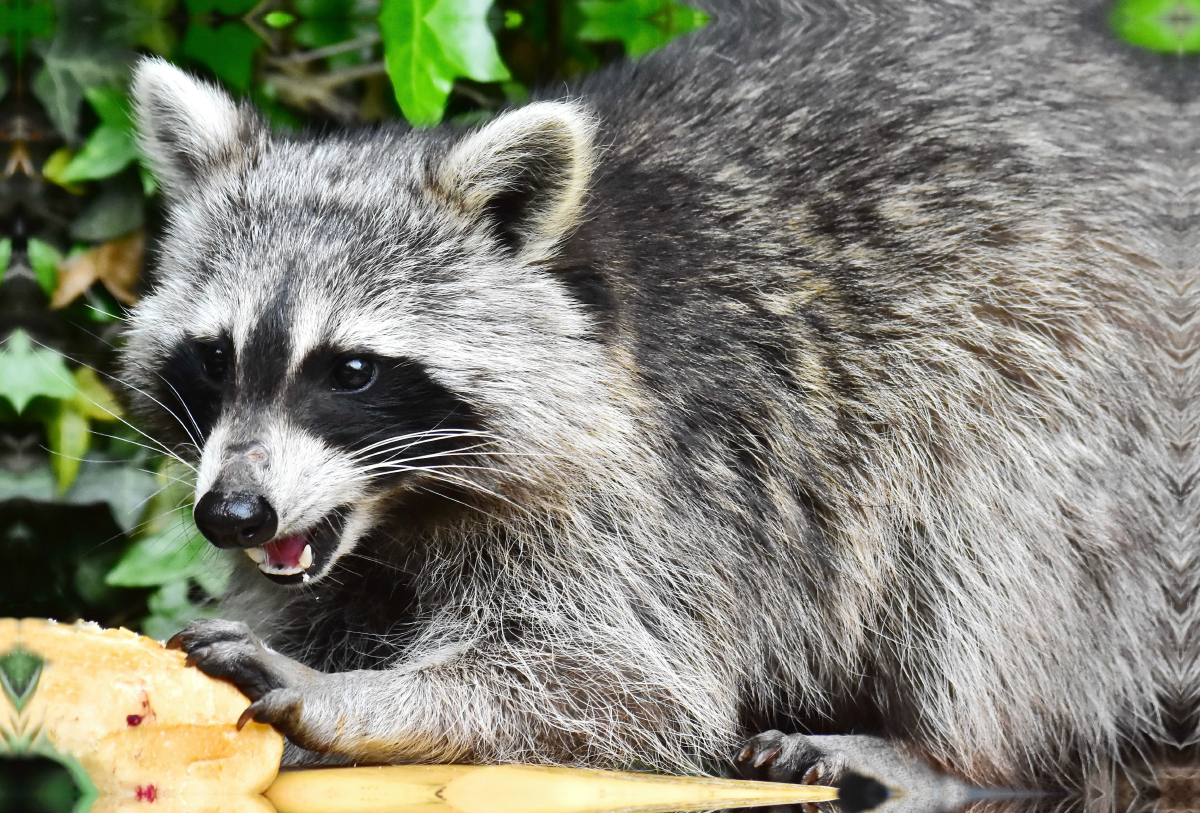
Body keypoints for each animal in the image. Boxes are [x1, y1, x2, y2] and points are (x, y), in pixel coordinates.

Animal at [119, 0, 1180, 791]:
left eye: (349, 369)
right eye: (213, 357)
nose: (232, 514)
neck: (402, 507)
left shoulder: (657, 488)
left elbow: (618, 677)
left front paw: (358, 699)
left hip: (1092, 381)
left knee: (991, 537)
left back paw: (950, 753)